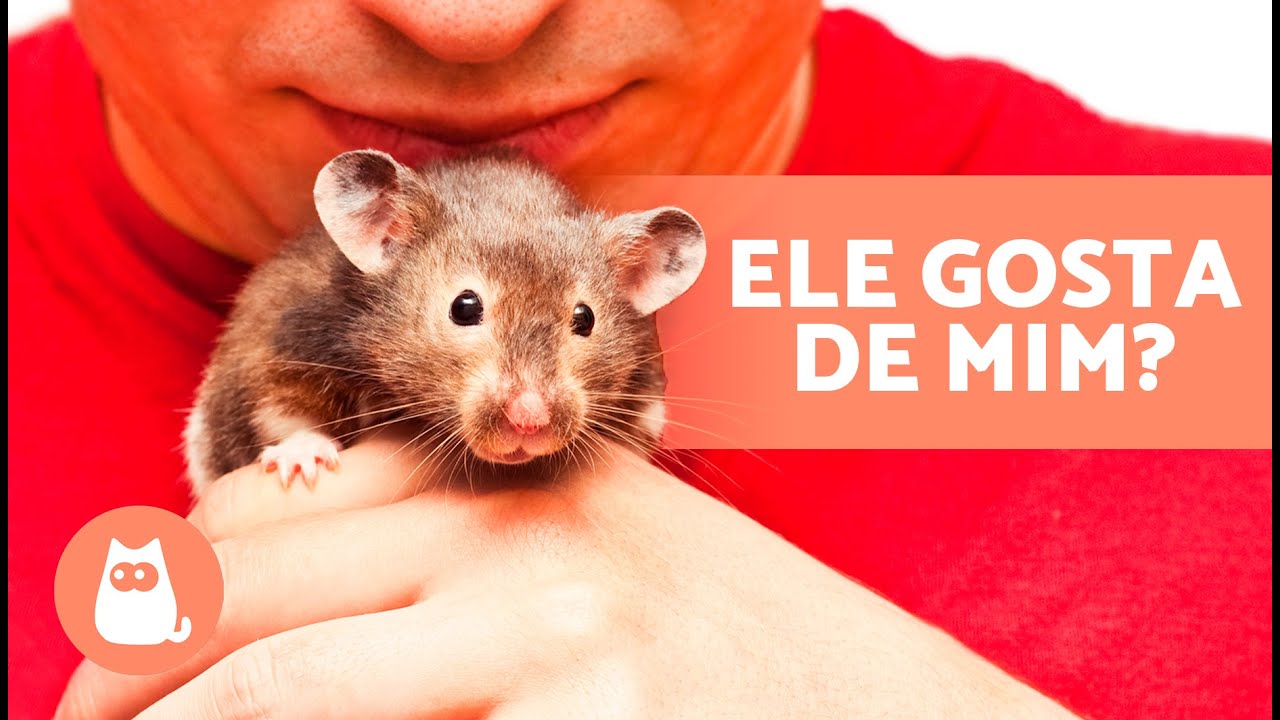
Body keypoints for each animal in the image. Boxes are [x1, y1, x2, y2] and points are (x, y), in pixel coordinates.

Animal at [183, 149, 706, 496]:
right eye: (464, 307)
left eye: (585, 318)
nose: (530, 420)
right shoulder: (280, 343)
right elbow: (280, 411)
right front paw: (304, 468)